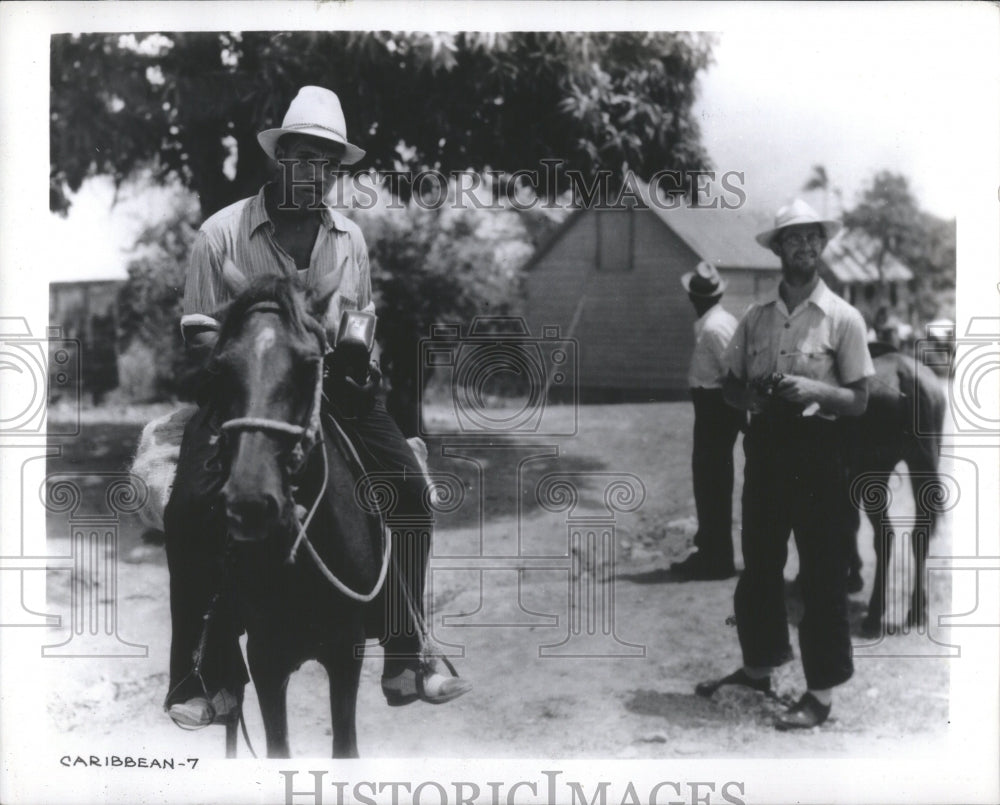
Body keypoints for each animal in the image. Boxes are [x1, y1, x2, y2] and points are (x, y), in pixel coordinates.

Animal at [195, 274, 382, 756]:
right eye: (219, 369)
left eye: (309, 364)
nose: (250, 501)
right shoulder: (266, 659)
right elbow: (278, 749)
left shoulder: (346, 651)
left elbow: (345, 748)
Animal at [848, 344, 948, 636]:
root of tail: (906, 375)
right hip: (921, 467)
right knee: (919, 534)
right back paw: (917, 610)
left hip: (875, 475)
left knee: (885, 536)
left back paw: (874, 614)